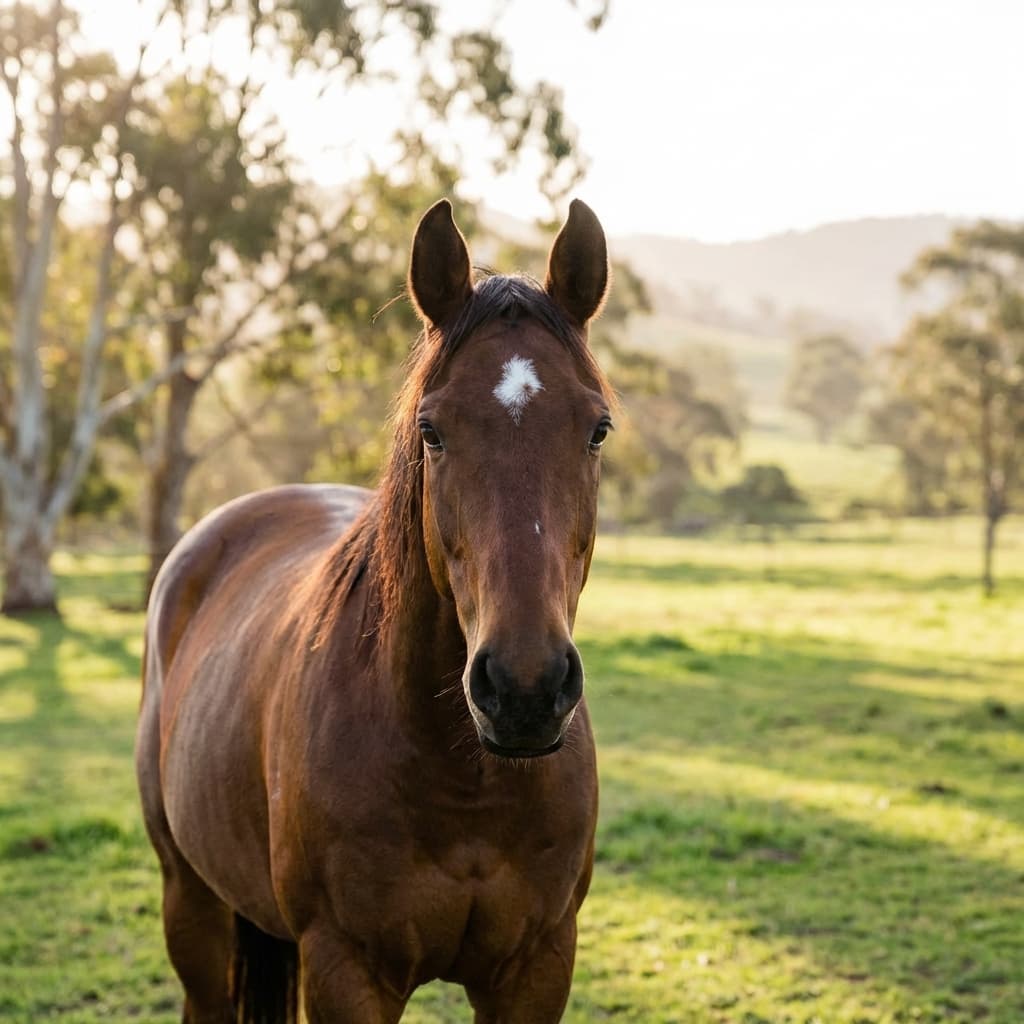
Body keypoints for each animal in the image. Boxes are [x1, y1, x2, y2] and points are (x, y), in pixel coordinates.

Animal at [136, 197, 615, 1023]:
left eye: (597, 429)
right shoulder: (345, 969)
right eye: (432, 430)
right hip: (190, 903)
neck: (464, 783)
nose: (524, 689)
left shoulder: (538, 967)